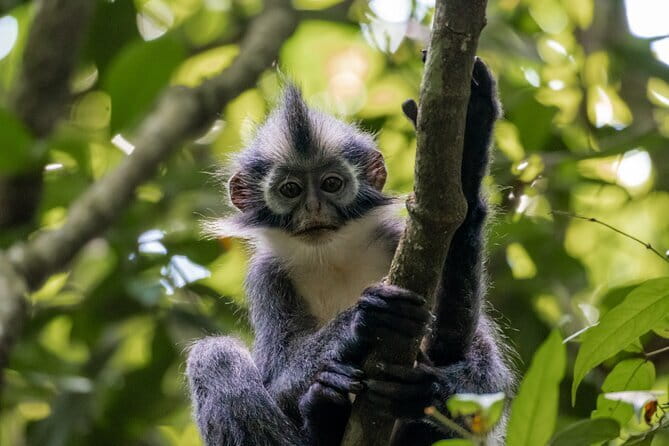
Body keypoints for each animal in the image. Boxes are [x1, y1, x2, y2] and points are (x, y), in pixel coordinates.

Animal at [186, 58, 513, 446]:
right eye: (290, 190)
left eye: (331, 184)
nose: (313, 208)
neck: (333, 257)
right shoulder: (267, 277)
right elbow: (276, 382)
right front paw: (356, 321)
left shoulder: (401, 239)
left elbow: (489, 381)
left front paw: (471, 139)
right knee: (214, 355)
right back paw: (323, 413)